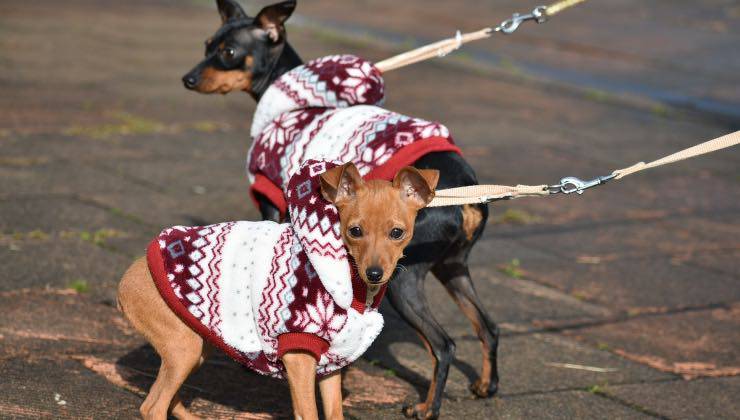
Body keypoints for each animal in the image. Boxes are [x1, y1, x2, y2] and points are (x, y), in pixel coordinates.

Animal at [118, 163, 436, 420]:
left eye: (397, 233)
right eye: (354, 231)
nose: (374, 273)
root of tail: (126, 279)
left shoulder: (331, 364)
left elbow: (334, 413)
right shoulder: (298, 353)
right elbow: (308, 413)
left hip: (197, 346)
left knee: (168, 400)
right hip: (184, 349)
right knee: (153, 406)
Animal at [182, 1, 500, 418]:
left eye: (229, 52)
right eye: (207, 45)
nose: (187, 79)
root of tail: (467, 193)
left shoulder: (271, 203)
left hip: (402, 277)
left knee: (444, 345)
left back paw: (427, 408)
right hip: (452, 266)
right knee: (489, 327)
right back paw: (486, 386)